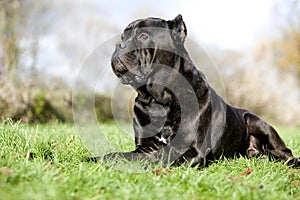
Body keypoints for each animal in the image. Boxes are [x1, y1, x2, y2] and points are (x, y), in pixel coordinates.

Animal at [92, 14, 298, 167]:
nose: (119, 45)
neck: (158, 99)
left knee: (285, 152)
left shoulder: (193, 151)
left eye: (143, 36)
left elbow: (162, 159)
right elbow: (118, 155)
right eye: (123, 37)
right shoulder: (144, 147)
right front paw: (95, 159)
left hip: (257, 122)